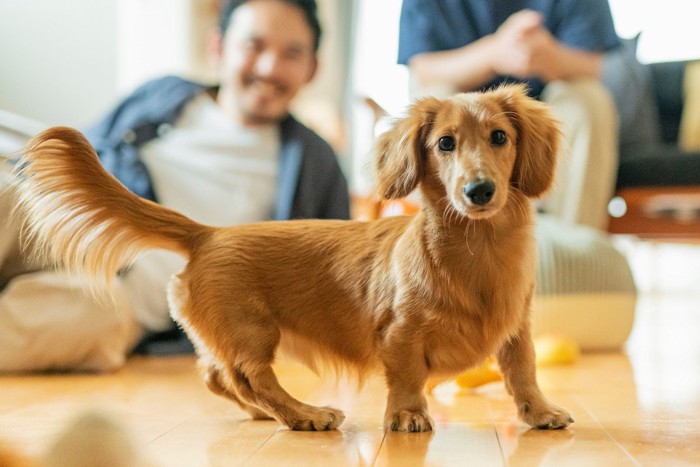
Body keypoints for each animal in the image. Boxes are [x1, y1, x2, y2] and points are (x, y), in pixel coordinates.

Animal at [13, 83, 572, 432]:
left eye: (499, 137)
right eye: (445, 144)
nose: (479, 191)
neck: (478, 251)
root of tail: (207, 234)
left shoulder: (517, 327)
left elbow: (522, 370)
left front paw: (538, 412)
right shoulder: (399, 334)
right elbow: (407, 378)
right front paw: (408, 416)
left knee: (217, 375)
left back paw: (268, 414)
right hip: (255, 330)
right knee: (249, 376)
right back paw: (303, 414)